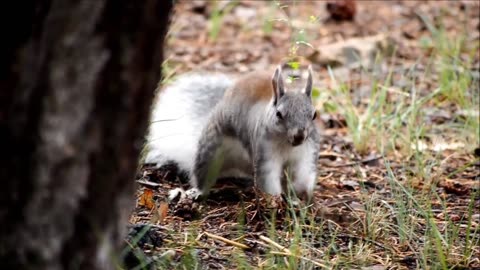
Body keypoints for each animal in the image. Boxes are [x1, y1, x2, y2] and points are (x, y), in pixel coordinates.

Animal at [144, 65, 320, 199]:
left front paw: (301, 196)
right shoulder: (264, 152)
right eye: (279, 114)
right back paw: (198, 191)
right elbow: (268, 179)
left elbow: (303, 175)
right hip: (210, 152)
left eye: (314, 115)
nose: (299, 136)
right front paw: (275, 203)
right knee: (202, 175)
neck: (286, 144)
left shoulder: (306, 154)